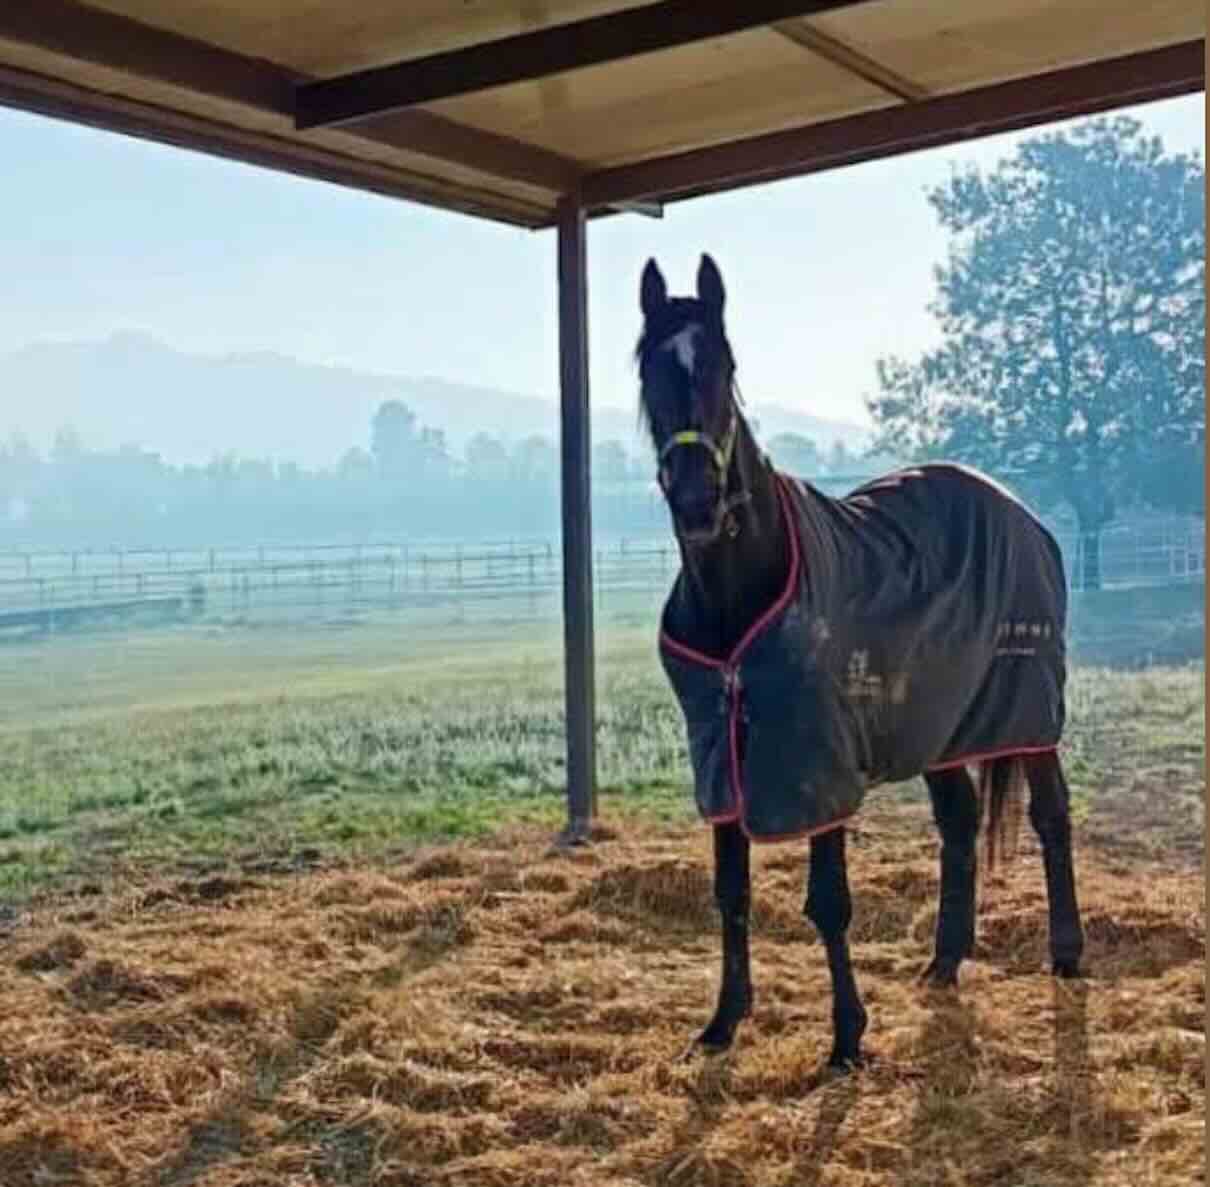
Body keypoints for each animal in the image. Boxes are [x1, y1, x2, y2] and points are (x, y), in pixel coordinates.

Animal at [636, 253, 1085, 1070]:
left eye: (724, 364)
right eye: (650, 366)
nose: (697, 501)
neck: (744, 587)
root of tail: (1022, 514)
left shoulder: (817, 761)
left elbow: (829, 903)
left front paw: (847, 1035)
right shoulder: (724, 758)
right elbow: (730, 892)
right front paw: (723, 1021)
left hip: (1028, 709)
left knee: (1051, 814)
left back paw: (1067, 955)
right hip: (943, 724)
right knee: (960, 823)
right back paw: (944, 961)